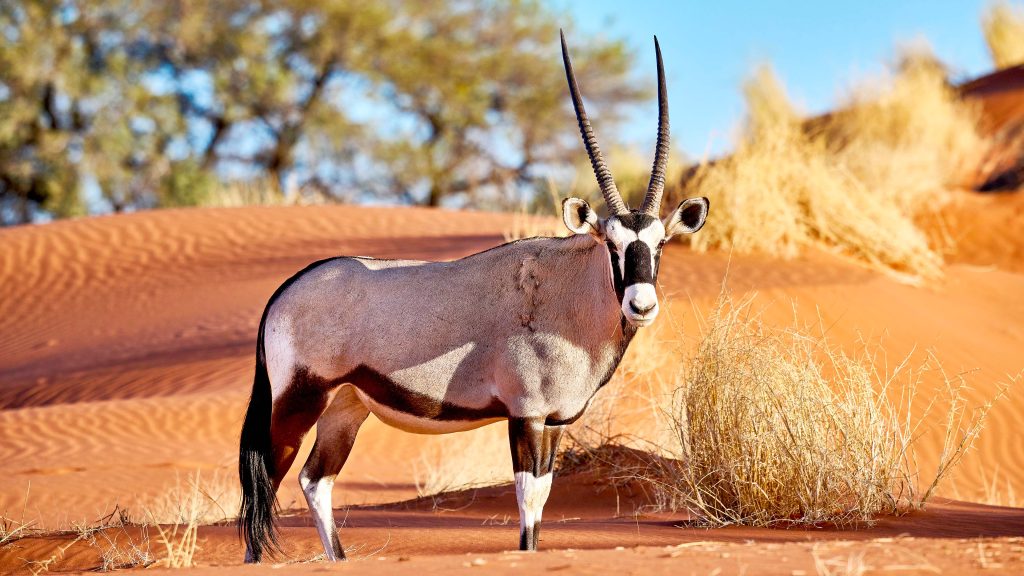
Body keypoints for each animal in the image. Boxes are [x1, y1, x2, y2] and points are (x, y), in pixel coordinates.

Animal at [238, 31, 709, 563]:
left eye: (659, 244)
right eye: (611, 244)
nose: (641, 305)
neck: (566, 291)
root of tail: (285, 292)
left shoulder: (555, 422)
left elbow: (542, 498)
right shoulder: (525, 415)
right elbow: (527, 498)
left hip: (345, 408)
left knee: (315, 479)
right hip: (297, 403)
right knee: (266, 480)